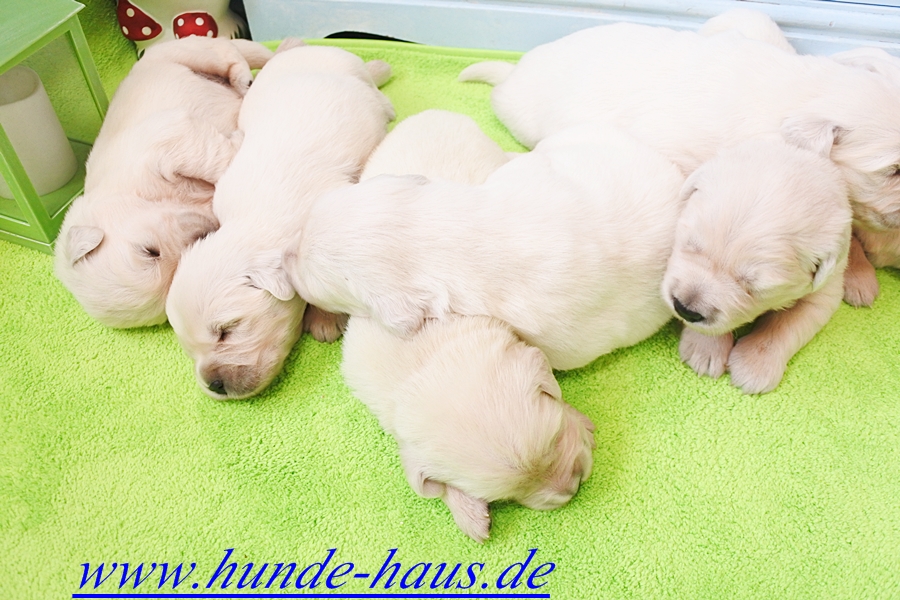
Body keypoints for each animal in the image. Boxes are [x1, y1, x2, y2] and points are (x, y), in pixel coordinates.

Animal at [54, 36, 273, 328]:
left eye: (150, 251)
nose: (204, 233)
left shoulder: (166, 135)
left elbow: (212, 155)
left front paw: (238, 143)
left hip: (181, 53)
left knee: (227, 51)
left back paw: (243, 78)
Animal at [165, 44, 394, 400]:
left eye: (226, 330)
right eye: (189, 347)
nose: (214, 385)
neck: (259, 217)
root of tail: (310, 46)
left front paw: (325, 320)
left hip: (356, 73)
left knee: (375, 87)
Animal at [342, 315, 594, 542]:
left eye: (556, 438)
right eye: (507, 498)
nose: (571, 490)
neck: (429, 361)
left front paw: (583, 423)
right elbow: (435, 487)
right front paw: (470, 516)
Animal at [663, 138, 852, 393]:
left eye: (754, 288)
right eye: (690, 245)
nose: (685, 308)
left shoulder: (827, 284)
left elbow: (790, 321)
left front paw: (753, 367)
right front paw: (705, 350)